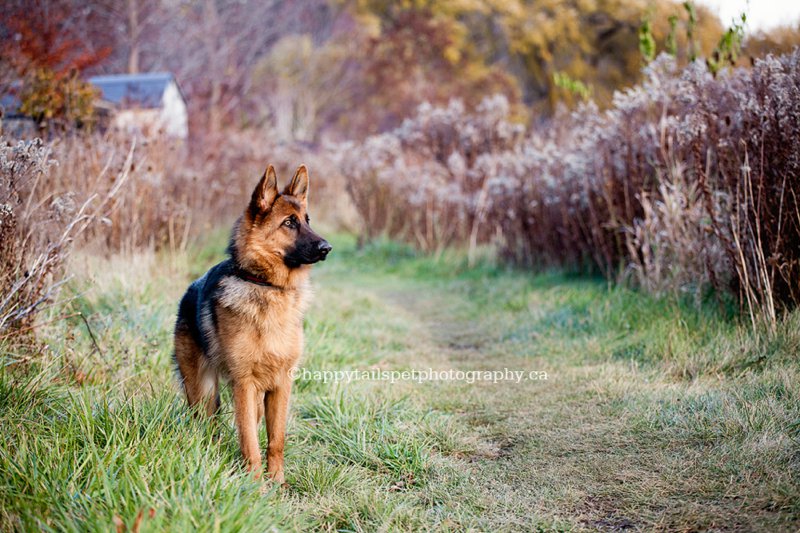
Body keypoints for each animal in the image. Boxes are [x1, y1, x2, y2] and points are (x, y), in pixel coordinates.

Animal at [175, 163, 332, 482]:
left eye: (307, 220)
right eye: (289, 223)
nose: (327, 247)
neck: (267, 286)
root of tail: (189, 290)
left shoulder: (281, 384)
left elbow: (276, 439)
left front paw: (278, 483)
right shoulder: (244, 385)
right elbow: (249, 441)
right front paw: (256, 486)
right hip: (202, 389)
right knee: (203, 419)